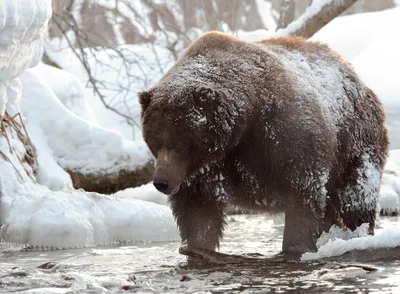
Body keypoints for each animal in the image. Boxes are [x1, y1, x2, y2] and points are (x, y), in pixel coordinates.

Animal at [139, 31, 390, 258]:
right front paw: (197, 247)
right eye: (154, 142)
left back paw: (357, 232)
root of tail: (353, 72)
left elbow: (303, 195)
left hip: (354, 142)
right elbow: (198, 212)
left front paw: (295, 246)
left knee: (356, 195)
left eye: (180, 143)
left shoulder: (282, 138)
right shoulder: (206, 170)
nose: (162, 182)